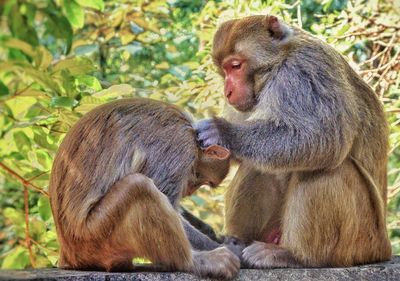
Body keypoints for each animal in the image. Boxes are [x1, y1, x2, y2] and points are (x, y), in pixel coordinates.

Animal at [48, 97, 239, 276]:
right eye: (197, 175)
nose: (190, 190)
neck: (191, 132)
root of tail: (67, 254)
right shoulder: (178, 147)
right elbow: (168, 200)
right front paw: (227, 247)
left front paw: (215, 234)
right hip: (93, 236)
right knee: (140, 186)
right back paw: (194, 262)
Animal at [195, 14, 392, 266]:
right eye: (224, 70)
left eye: (235, 66)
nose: (227, 92)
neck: (279, 60)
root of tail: (383, 249)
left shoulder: (307, 70)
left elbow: (322, 139)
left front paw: (221, 131)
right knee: (259, 164)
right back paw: (238, 244)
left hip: (360, 241)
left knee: (327, 170)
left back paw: (297, 256)